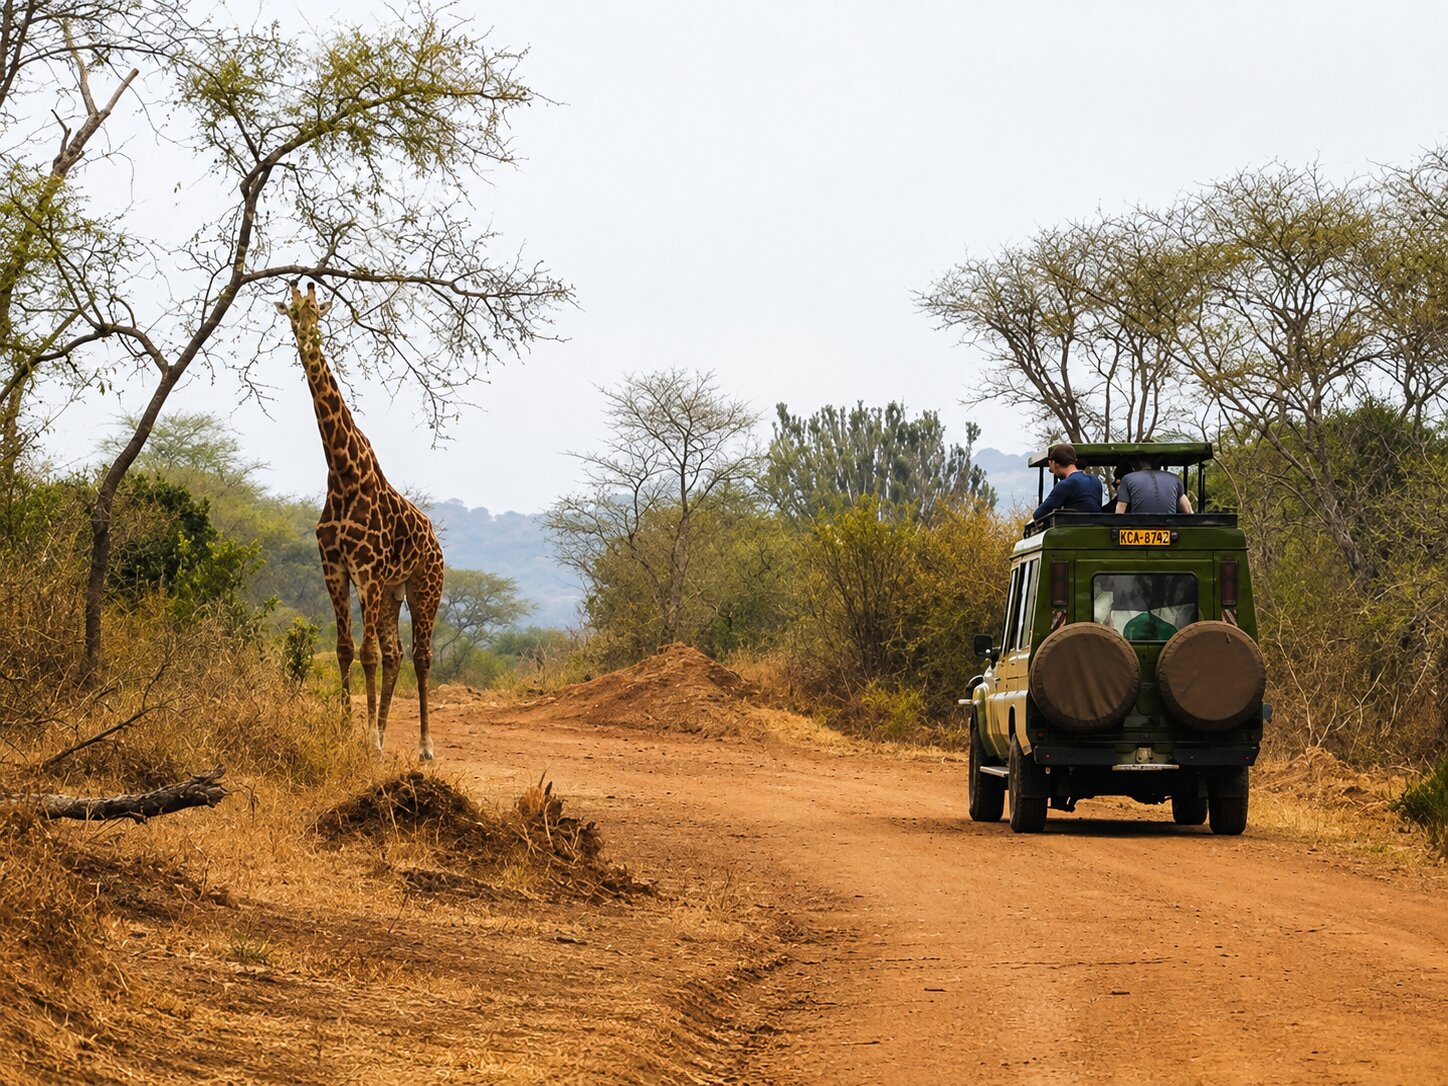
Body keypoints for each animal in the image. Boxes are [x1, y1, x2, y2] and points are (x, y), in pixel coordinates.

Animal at [276, 282, 445, 760]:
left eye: (317, 313)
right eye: (292, 312)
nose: (307, 337)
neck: (342, 472)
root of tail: (436, 541)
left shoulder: (365, 569)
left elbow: (366, 653)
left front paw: (367, 738)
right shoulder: (334, 567)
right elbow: (345, 649)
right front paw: (347, 730)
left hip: (424, 588)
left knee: (420, 656)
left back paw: (424, 746)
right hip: (391, 593)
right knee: (395, 654)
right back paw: (385, 734)